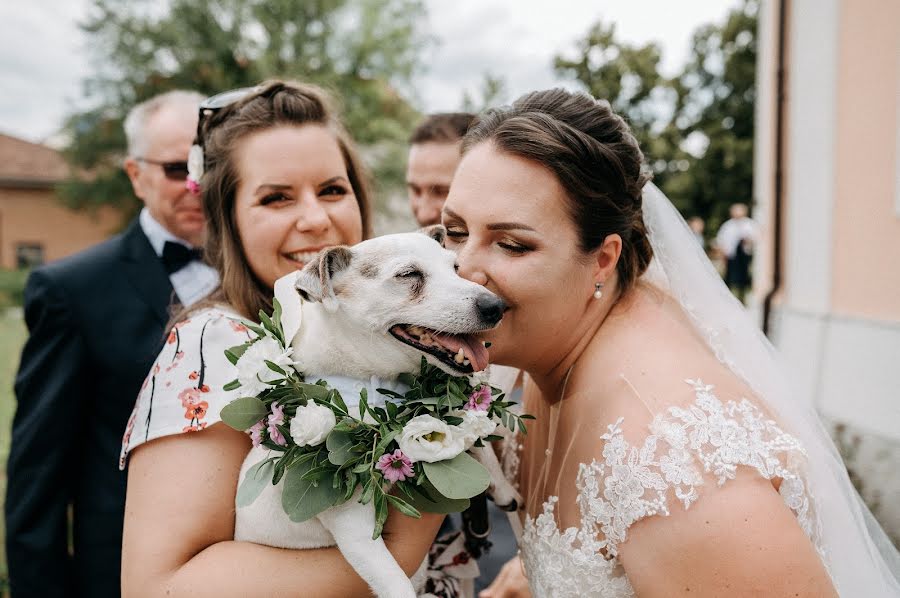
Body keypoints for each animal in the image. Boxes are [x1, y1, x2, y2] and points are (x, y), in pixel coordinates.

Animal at [236, 229, 524, 598]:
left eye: (456, 267)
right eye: (409, 275)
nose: (495, 306)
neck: (375, 382)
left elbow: (476, 442)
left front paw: (501, 487)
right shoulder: (355, 529)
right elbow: (396, 582)